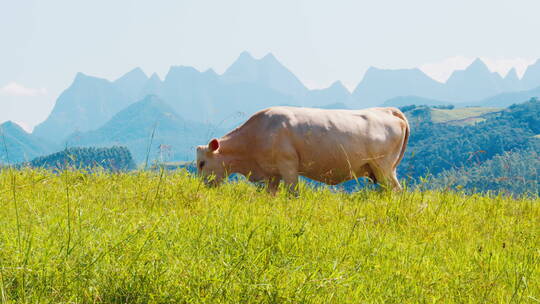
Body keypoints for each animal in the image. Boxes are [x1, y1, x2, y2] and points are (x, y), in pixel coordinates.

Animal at [197, 105, 410, 194]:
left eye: (201, 163)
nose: (201, 187)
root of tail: (387, 110)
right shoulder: (273, 173)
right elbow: (270, 195)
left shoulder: (288, 165)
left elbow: (293, 192)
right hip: (381, 169)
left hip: (383, 167)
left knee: (395, 190)